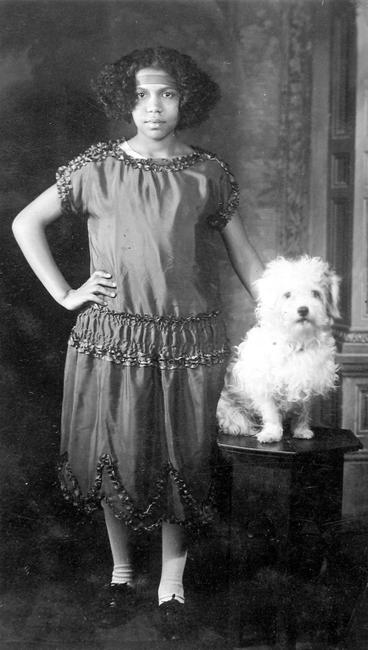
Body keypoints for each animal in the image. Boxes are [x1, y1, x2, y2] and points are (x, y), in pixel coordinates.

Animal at [217, 256, 340, 442]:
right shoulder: (265, 386)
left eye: (315, 293)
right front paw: (271, 433)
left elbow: (303, 410)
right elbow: (271, 413)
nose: (303, 309)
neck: (297, 342)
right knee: (236, 421)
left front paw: (301, 430)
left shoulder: (306, 382)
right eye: (287, 295)